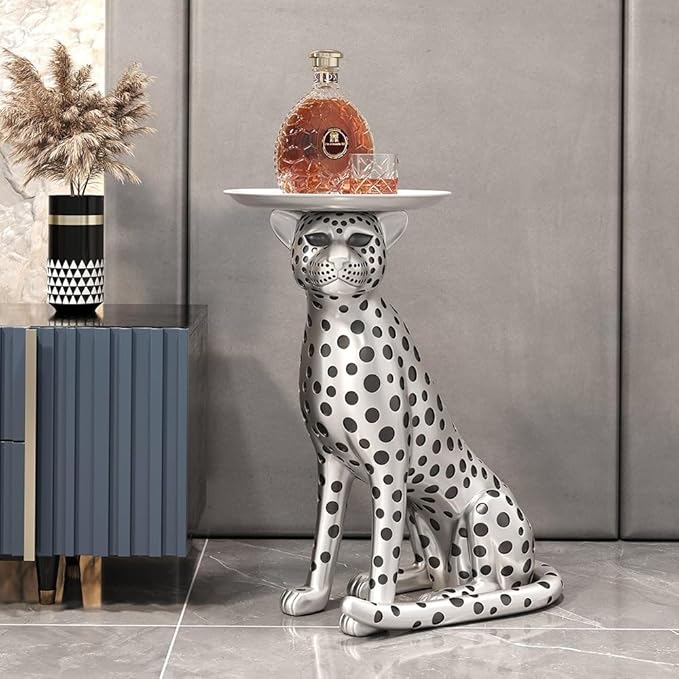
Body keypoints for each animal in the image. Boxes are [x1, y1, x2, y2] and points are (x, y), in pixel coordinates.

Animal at [270, 208, 563, 637]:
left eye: (359, 239)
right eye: (318, 238)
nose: (339, 262)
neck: (337, 324)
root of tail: (529, 564)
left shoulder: (388, 470)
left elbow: (382, 553)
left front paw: (373, 614)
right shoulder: (330, 464)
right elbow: (324, 541)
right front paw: (313, 597)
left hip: (485, 508)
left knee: (491, 585)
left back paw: (445, 598)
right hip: (417, 509)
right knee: (434, 569)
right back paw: (411, 583)